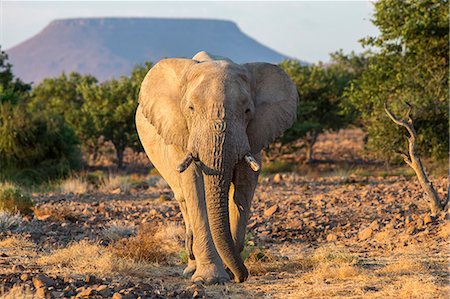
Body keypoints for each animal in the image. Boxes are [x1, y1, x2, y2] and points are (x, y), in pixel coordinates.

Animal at [137, 51, 298, 284]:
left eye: (247, 110)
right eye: (191, 109)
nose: (241, 277)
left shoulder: (254, 135)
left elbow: (243, 190)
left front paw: (229, 272)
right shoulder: (182, 135)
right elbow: (196, 190)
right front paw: (209, 279)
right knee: (183, 200)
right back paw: (191, 269)